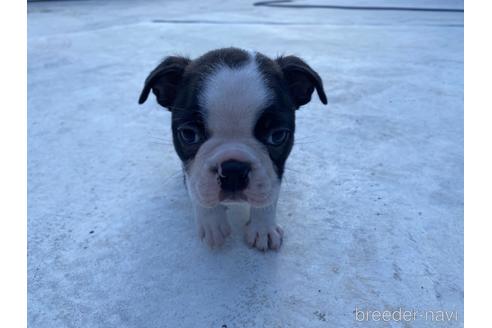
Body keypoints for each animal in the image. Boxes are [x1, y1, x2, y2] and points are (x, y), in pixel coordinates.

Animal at [138, 46, 326, 251]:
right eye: (188, 134)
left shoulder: (275, 173)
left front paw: (263, 228)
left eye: (277, 136)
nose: (233, 170)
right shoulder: (192, 174)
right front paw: (212, 224)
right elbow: (197, 190)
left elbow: (270, 195)